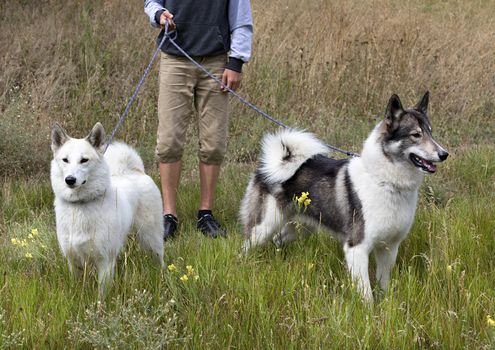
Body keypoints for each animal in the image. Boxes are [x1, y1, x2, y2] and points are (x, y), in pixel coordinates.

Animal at [51, 121, 166, 294]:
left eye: (84, 160)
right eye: (65, 160)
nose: (70, 180)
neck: (81, 204)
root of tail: (135, 171)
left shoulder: (104, 261)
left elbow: (101, 294)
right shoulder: (73, 261)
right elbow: (77, 287)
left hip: (151, 237)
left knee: (160, 257)